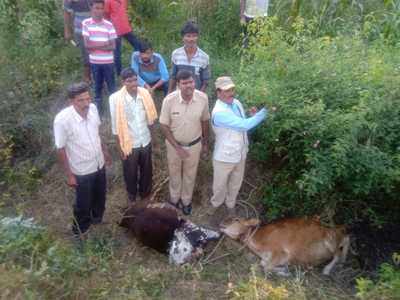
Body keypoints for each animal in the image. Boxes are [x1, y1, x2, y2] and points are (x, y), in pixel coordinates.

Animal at [220, 216, 348, 276]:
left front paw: (285, 272)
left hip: (330, 239)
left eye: (236, 219)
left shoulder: (282, 252)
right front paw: (284, 270)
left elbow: (266, 267)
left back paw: (327, 269)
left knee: (340, 248)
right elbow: (263, 264)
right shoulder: (267, 257)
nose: (221, 224)